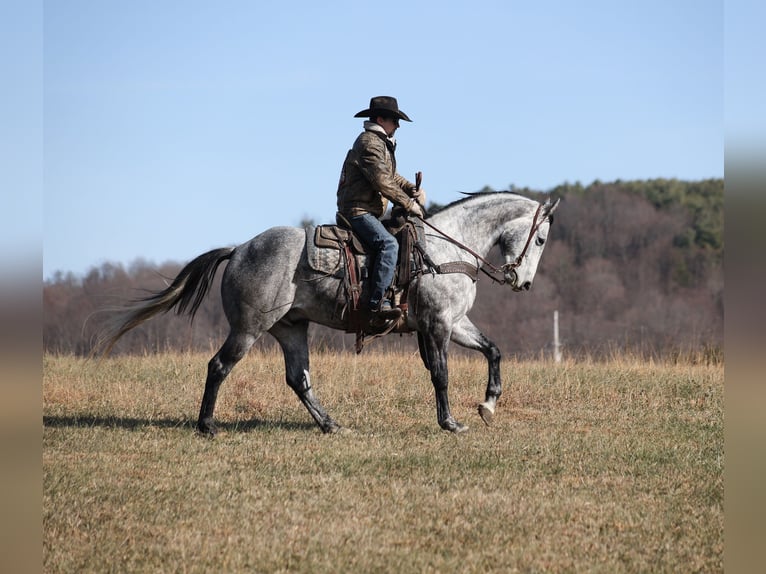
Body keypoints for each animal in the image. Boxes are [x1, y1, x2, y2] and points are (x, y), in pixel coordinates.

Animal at [97, 192, 559, 434]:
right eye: (539, 240)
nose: (522, 282)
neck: (445, 249)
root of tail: (239, 248)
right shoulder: (438, 324)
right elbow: (441, 375)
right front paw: (450, 423)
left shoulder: (457, 323)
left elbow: (494, 350)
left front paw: (489, 404)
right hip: (248, 328)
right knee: (219, 366)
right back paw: (207, 425)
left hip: (291, 329)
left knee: (298, 378)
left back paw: (330, 424)